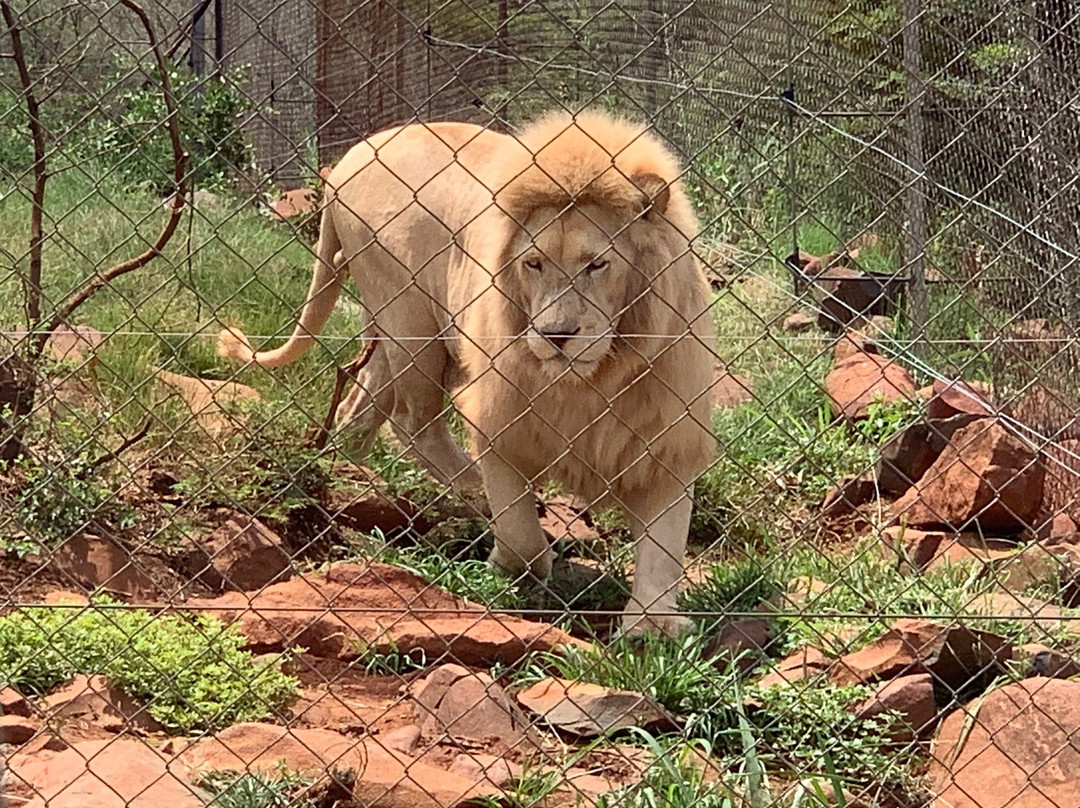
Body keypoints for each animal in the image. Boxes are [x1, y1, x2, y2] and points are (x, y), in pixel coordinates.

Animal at [217, 110, 717, 635]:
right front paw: (517, 565)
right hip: (409, 319)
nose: (556, 335)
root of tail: (350, 159)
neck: (590, 381)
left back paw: (352, 469)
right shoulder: (501, 423)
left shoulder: (665, 439)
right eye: (534, 263)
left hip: (395, 332)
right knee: (413, 424)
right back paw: (469, 488)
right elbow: (519, 533)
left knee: (362, 408)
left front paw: (654, 626)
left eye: (597, 265)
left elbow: (665, 545)